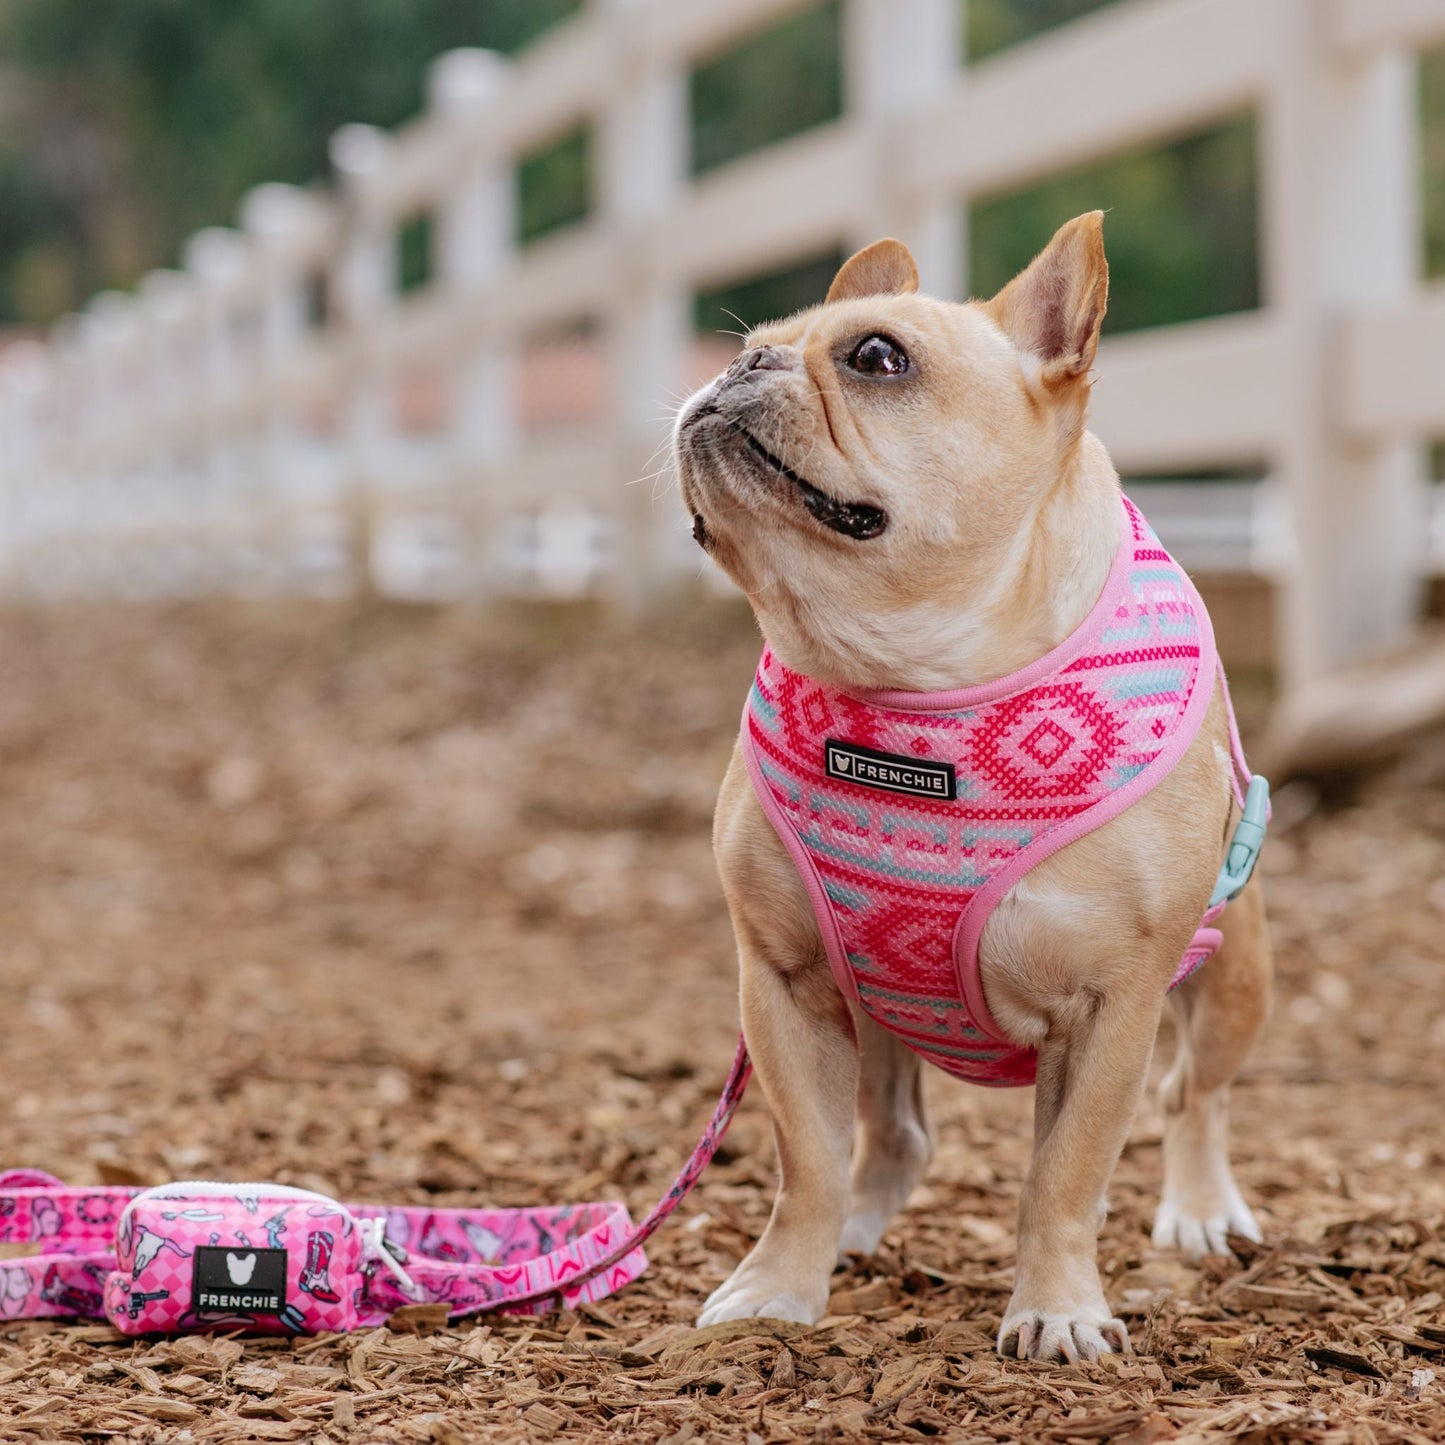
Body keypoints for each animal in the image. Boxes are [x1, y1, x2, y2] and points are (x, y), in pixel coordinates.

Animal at [670, 209, 1271, 1358]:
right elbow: (805, 1160)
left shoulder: (1111, 1006)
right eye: (749, 344)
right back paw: (858, 1228)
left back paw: (1200, 1206)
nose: (738, 365)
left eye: (875, 357)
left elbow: (1063, 1172)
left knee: (1198, 1093)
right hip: (870, 1016)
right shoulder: (783, 985)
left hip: (1229, 978)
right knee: (890, 1132)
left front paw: (1056, 1308)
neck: (917, 679)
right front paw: (777, 1287)